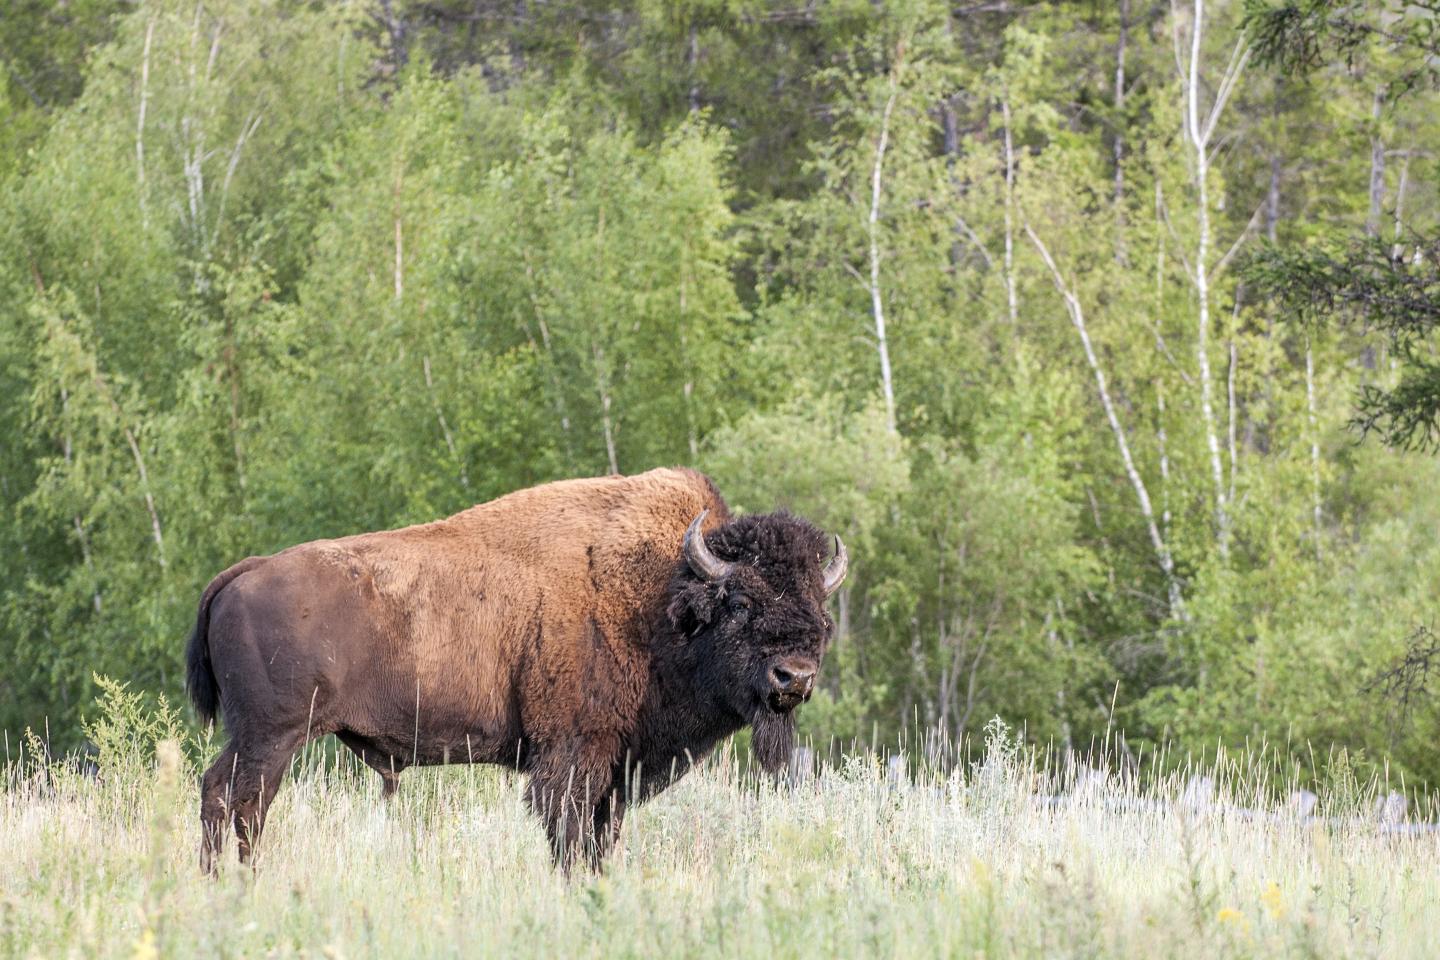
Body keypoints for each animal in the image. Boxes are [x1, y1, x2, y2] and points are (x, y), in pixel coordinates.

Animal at [186, 467, 847, 871]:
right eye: (740, 603)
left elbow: (599, 840)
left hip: (259, 736)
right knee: (239, 801)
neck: (660, 597)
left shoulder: (615, 770)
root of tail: (245, 571)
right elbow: (568, 836)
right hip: (273, 735)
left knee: (224, 796)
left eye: (821, 613)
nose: (793, 678)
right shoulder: (573, 757)